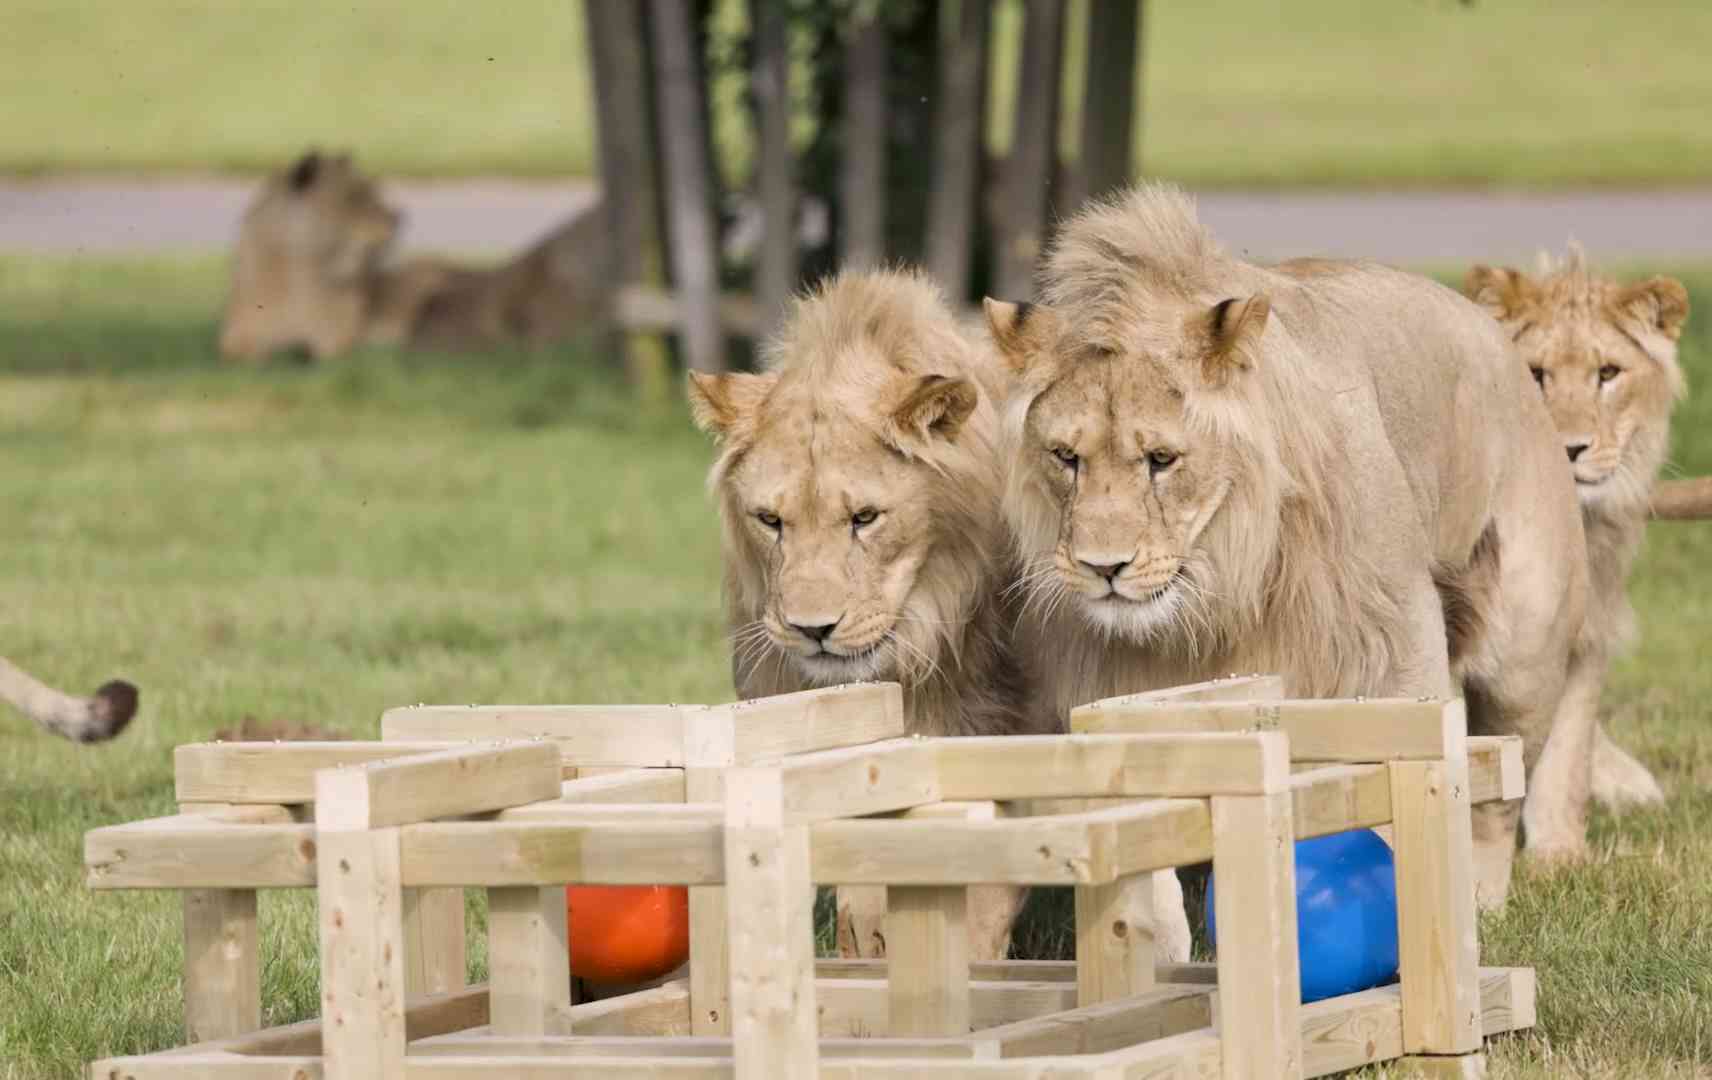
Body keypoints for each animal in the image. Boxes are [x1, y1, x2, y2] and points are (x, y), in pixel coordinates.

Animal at [217, 149, 609, 361]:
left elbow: (327, 347)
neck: (296, 272)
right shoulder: (234, 343)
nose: (398, 217)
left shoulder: (345, 337)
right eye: (354, 197)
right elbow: (243, 351)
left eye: (372, 190)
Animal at [992, 183, 1588, 910]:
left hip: (1524, 654)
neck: (1221, 588)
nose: (1102, 568)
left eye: (1161, 460)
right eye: (1065, 457)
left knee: (1500, 788)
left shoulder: (1395, 642)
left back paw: (1483, 897)